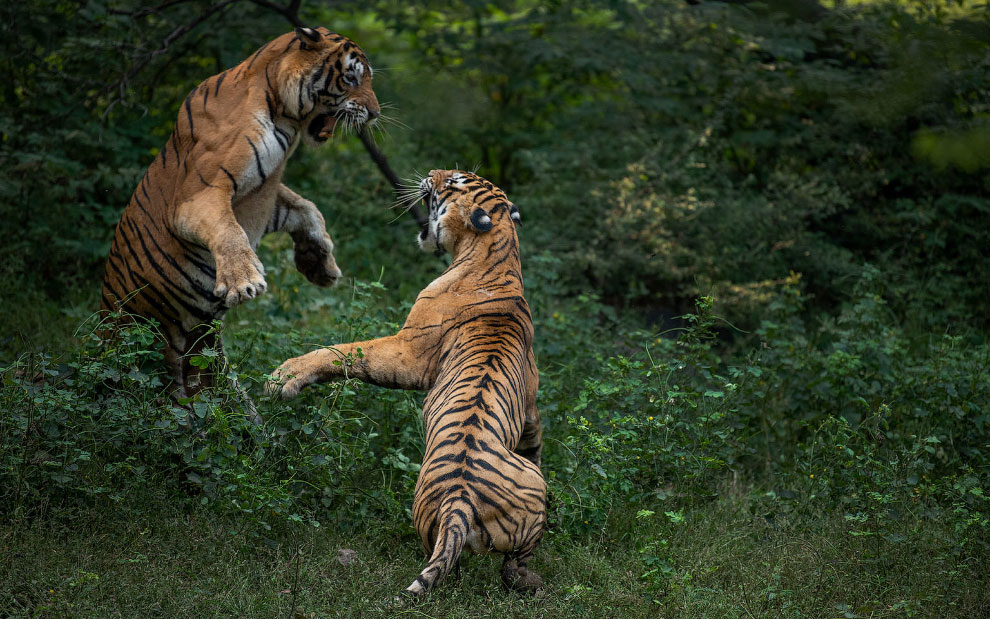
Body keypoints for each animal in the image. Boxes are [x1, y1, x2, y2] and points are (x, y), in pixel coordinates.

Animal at [101, 26, 380, 410]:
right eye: (352, 78)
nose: (376, 113)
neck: (283, 114)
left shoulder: (260, 196)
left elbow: (307, 208)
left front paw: (319, 266)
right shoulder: (200, 194)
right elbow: (229, 230)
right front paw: (243, 281)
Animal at [274, 170, 552, 596]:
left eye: (453, 182)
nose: (430, 175)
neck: (499, 254)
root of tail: (460, 501)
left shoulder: (408, 352)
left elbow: (346, 352)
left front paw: (285, 377)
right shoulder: (531, 402)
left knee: (507, 569)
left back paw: (533, 581)